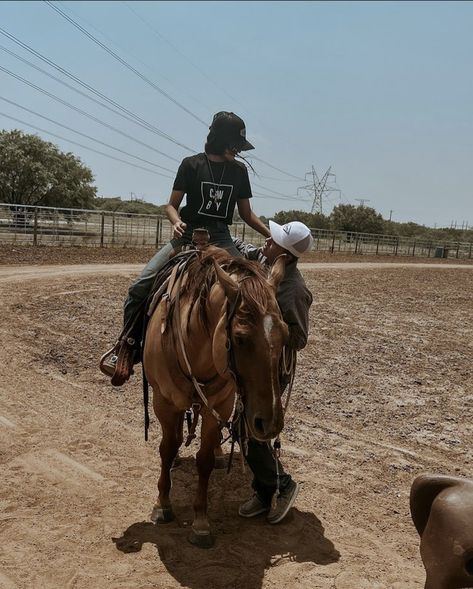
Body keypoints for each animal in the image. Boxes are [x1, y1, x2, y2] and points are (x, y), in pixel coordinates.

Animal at [142, 245, 286, 548]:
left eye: (285, 333)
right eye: (240, 338)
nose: (270, 424)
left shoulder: (220, 404)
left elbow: (205, 459)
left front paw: (200, 523)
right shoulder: (163, 402)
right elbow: (166, 447)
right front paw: (162, 504)